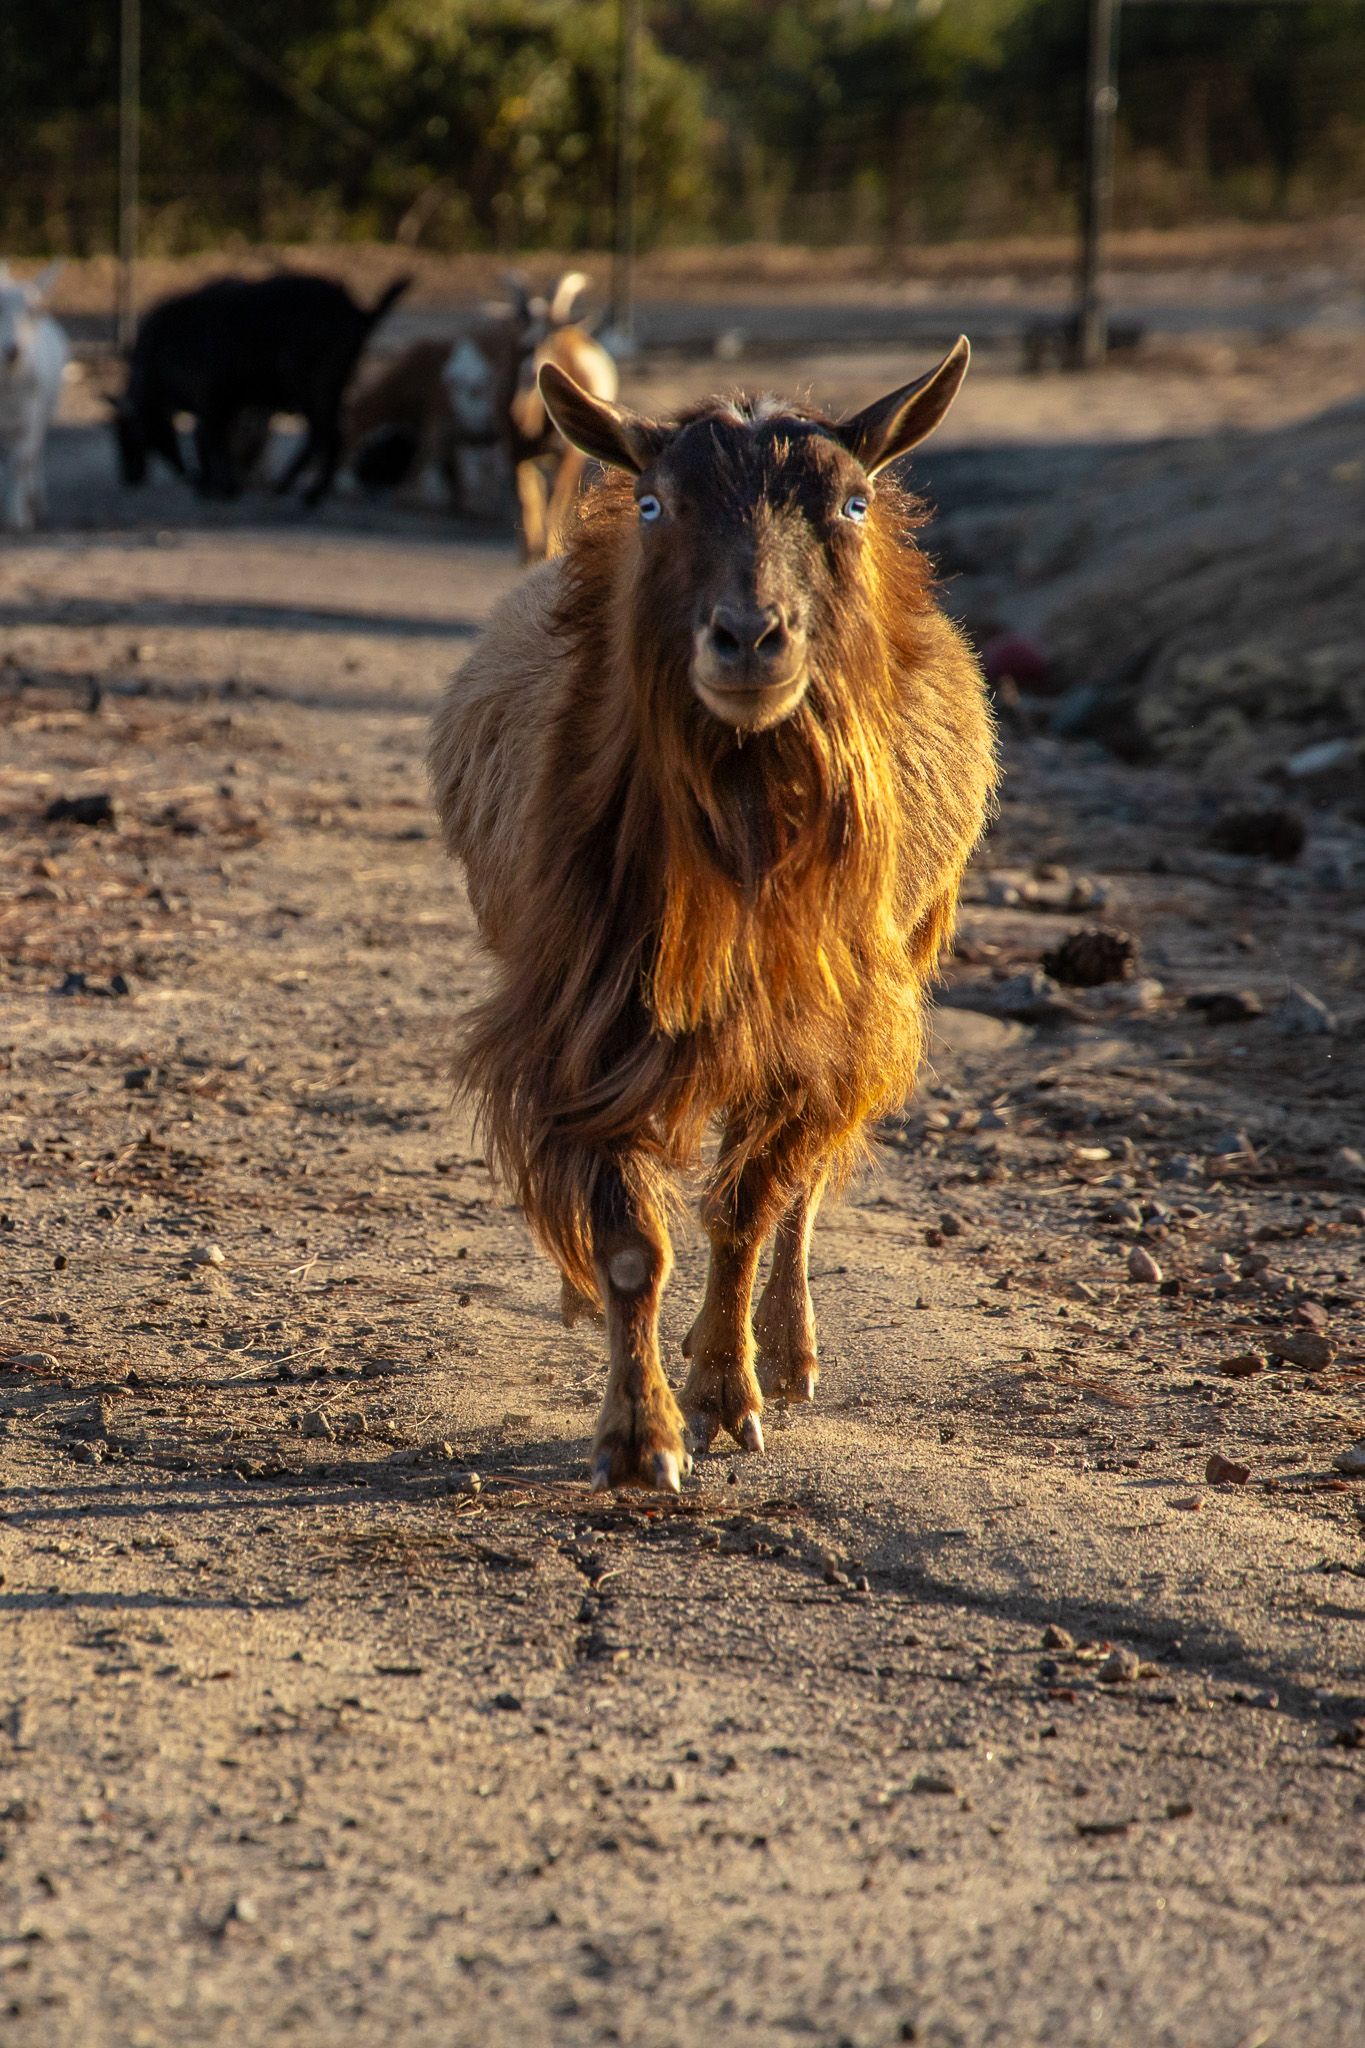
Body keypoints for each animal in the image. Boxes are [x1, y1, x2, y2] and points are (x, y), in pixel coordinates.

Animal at [0, 262, 68, 532]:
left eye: (32, 311)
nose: (13, 350)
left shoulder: (29, 419)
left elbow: (21, 462)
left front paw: (17, 518)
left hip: (46, 409)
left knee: (34, 455)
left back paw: (35, 501)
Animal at [114, 271, 410, 505]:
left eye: (126, 433)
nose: (128, 476)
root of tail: (358, 312)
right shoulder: (221, 405)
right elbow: (209, 440)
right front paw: (215, 485)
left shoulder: (209, 400)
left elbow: (211, 440)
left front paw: (219, 488)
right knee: (321, 436)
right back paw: (286, 486)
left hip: (310, 386)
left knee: (328, 434)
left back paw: (309, 495)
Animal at [429, 341, 998, 1492]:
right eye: (654, 501)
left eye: (854, 502)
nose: (748, 637)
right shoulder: (581, 1018)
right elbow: (629, 1240)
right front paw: (639, 1433)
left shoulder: (821, 1022)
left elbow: (747, 1208)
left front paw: (726, 1392)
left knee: (804, 1189)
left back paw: (786, 1348)